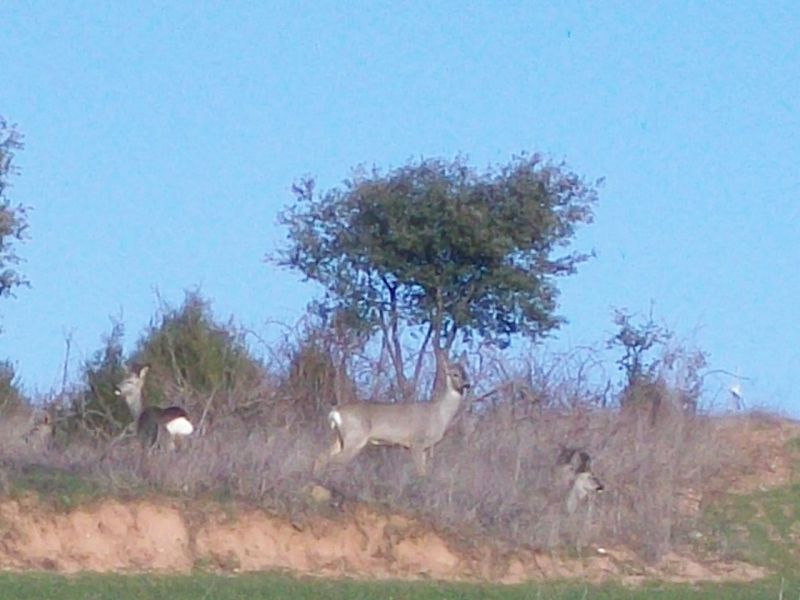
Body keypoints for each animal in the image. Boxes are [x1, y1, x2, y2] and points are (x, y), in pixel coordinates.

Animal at [314, 356, 476, 478]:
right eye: (454, 374)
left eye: (466, 372)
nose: (467, 385)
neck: (438, 414)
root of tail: (336, 411)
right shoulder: (416, 441)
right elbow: (421, 473)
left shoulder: (424, 447)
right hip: (355, 437)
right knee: (335, 461)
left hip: (340, 437)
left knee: (322, 457)